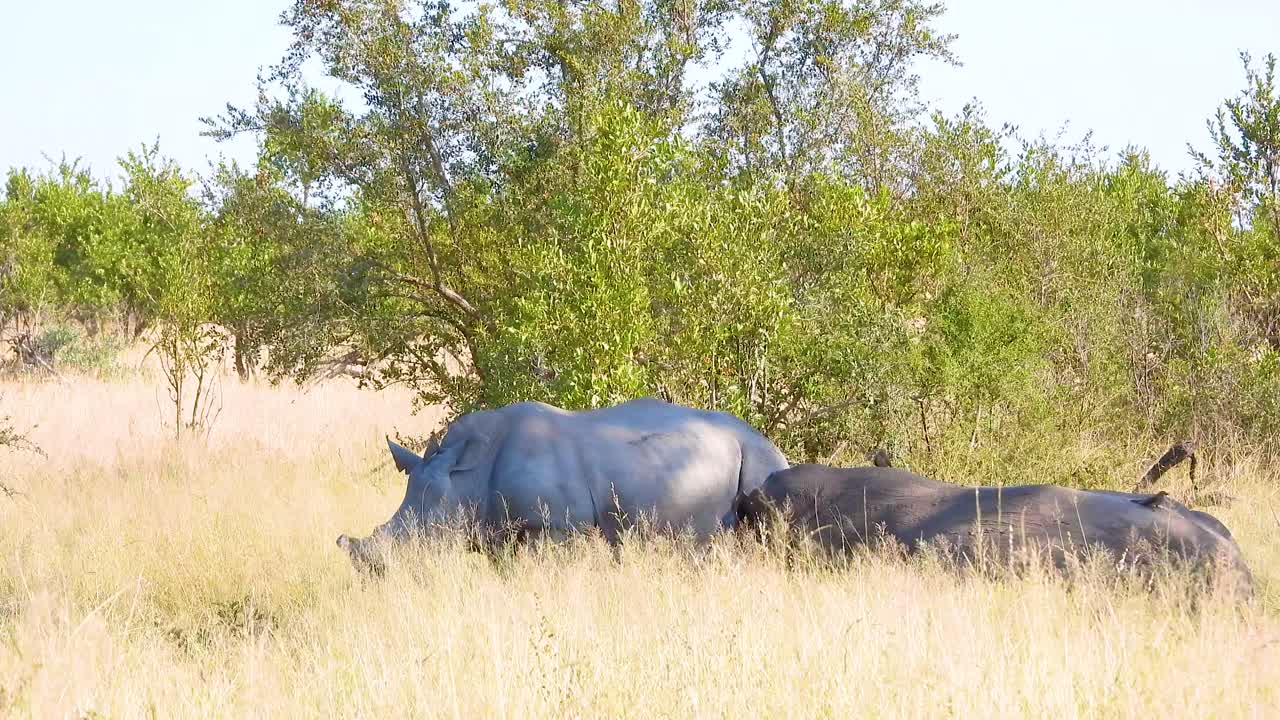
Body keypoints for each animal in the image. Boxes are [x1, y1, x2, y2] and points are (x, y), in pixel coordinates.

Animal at [338, 397, 789, 571]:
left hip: (760, 462)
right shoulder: (496, 529)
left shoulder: (555, 527)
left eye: (418, 538)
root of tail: (771, 442)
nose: (372, 574)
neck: (467, 476)